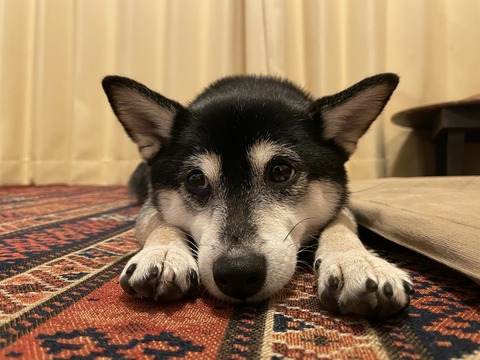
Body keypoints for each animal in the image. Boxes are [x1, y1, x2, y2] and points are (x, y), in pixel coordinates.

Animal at [104, 73, 412, 316]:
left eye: (281, 171)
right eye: (196, 179)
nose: (237, 274)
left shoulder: (342, 200)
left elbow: (342, 222)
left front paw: (357, 261)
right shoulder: (152, 202)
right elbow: (161, 221)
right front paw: (163, 253)